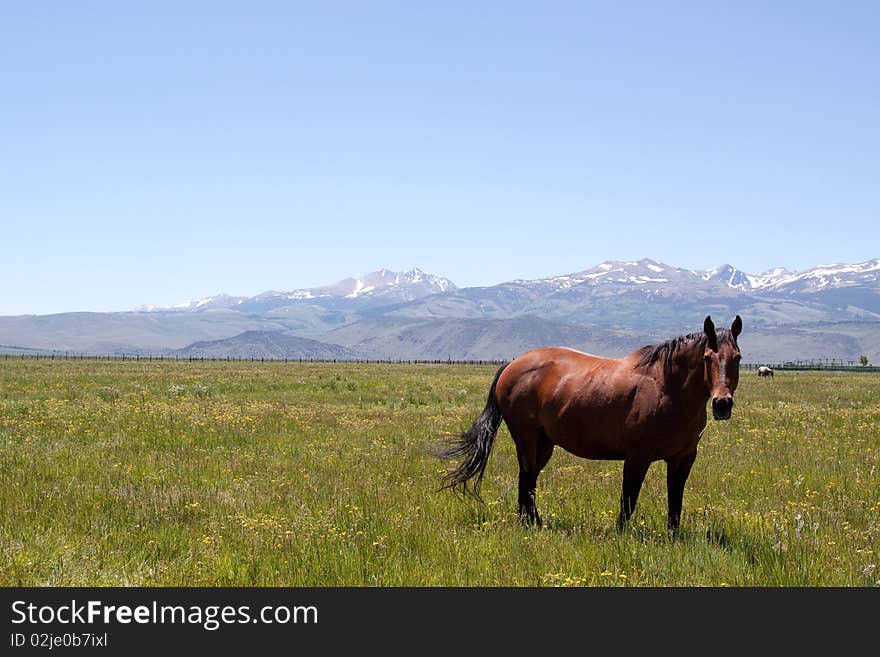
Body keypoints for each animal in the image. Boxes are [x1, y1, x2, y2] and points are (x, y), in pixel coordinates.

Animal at [440, 314, 744, 532]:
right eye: (708, 357)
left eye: (738, 358)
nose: (722, 404)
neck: (665, 388)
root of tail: (513, 364)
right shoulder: (637, 457)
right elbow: (629, 499)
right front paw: (621, 535)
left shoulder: (683, 459)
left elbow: (675, 503)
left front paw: (672, 538)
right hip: (526, 438)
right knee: (526, 477)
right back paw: (528, 524)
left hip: (544, 442)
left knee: (530, 479)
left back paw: (533, 523)